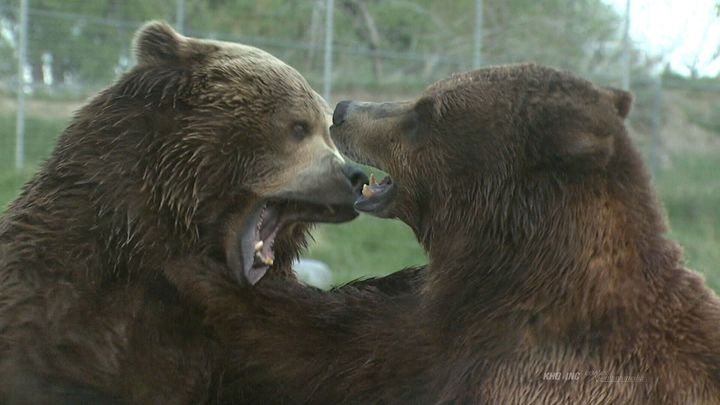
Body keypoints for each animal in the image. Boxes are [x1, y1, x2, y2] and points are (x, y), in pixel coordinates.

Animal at [164, 64, 720, 404]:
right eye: (424, 97)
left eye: (423, 112)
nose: (343, 109)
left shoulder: (521, 363)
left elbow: (332, 346)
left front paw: (198, 274)